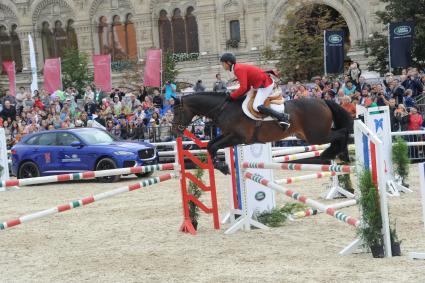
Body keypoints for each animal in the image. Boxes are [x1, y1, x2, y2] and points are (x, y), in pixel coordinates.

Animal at [171, 92, 352, 175]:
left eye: (177, 112)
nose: (174, 131)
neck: (223, 108)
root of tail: (323, 101)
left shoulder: (237, 137)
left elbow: (213, 146)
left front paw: (222, 167)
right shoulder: (229, 135)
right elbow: (210, 145)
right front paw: (221, 166)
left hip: (316, 135)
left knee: (342, 132)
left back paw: (338, 155)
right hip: (311, 134)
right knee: (339, 132)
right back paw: (337, 155)